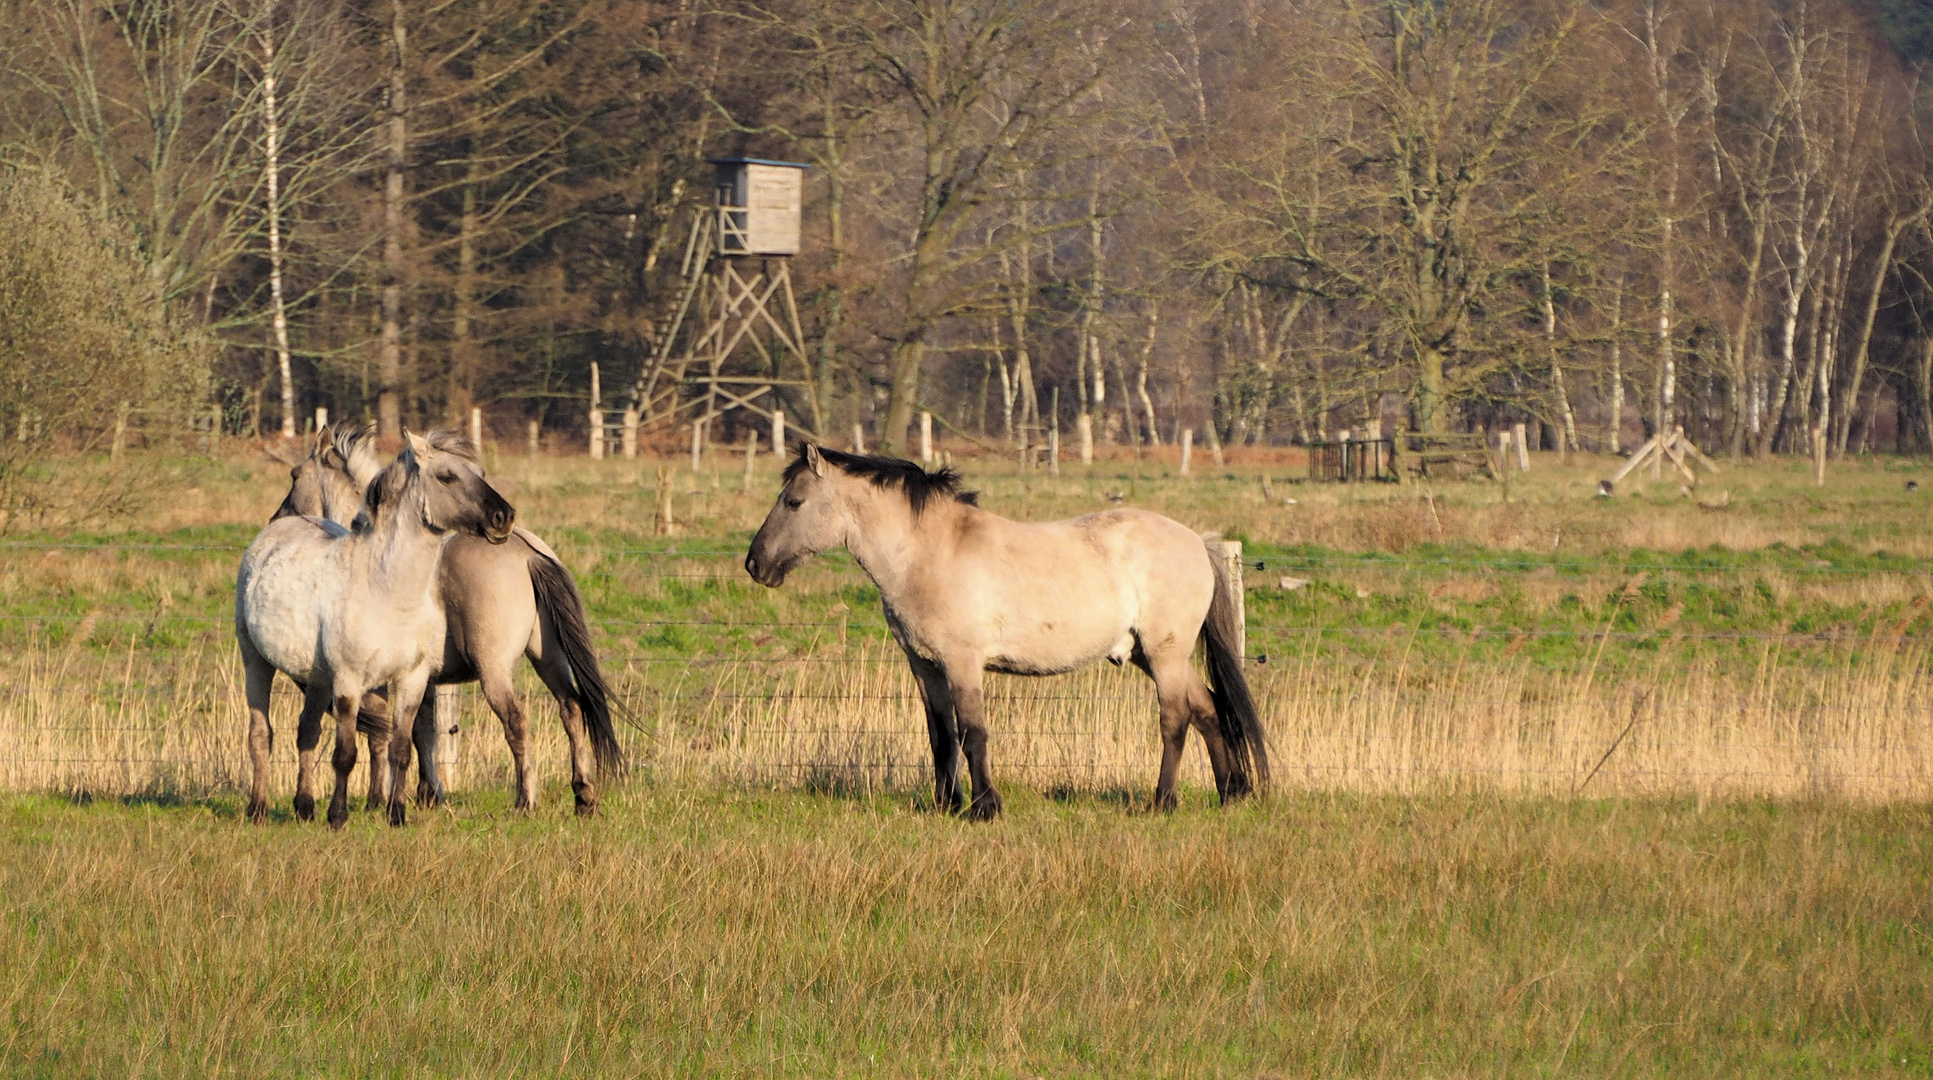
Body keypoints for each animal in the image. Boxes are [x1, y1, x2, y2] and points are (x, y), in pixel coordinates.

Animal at [237, 428, 518, 826]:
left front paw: (395, 813)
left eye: (480, 472)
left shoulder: (411, 680)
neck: (387, 591)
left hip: (318, 679)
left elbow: (400, 748)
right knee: (262, 735)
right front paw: (338, 816)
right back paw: (258, 809)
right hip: (257, 662)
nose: (503, 517)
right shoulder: (350, 682)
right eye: (447, 476)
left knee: (307, 732)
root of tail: (273, 535)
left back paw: (304, 807)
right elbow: (346, 753)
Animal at [268, 423, 618, 819]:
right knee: (571, 708)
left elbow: (383, 735)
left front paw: (381, 798)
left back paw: (525, 800)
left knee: (517, 721)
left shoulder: (380, 677)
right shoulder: (424, 678)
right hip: (548, 657)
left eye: (295, 475)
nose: (276, 519)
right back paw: (584, 796)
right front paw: (427, 792)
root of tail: (526, 552)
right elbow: (424, 731)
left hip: (495, 669)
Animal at [738, 444, 1268, 823]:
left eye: (794, 502)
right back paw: (1230, 793)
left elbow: (973, 732)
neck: (929, 552)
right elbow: (941, 734)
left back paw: (1163, 802)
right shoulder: (925, 665)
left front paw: (984, 808)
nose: (755, 565)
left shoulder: (963, 662)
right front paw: (945, 804)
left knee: (1176, 719)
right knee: (1208, 709)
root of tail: (1197, 541)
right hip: (1147, 655)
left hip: (1165, 654)